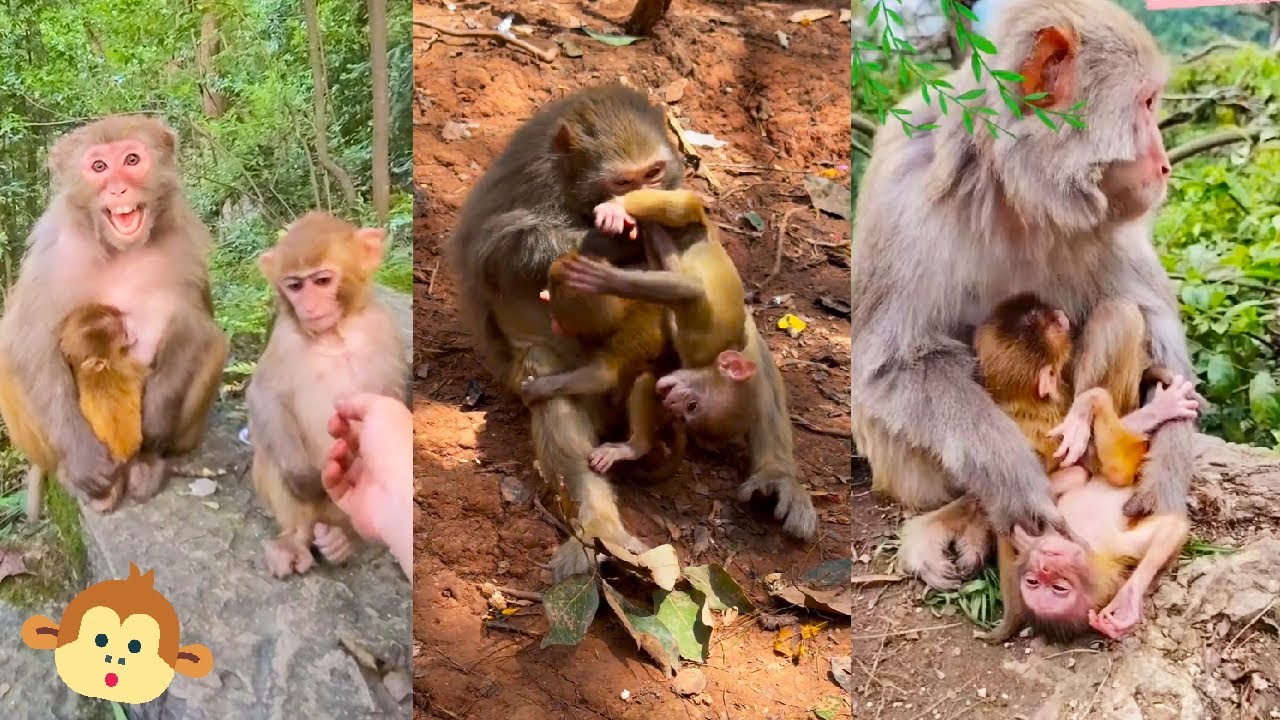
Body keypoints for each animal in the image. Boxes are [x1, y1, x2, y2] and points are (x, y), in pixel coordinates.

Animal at [246, 211, 408, 579]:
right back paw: (296, 538)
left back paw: (341, 541)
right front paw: (302, 478)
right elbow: (264, 395)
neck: (334, 334)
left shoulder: (382, 331)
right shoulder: (284, 337)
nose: (308, 305)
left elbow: (393, 402)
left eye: (321, 281)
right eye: (294, 285)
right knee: (269, 452)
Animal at [448, 84, 816, 579]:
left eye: (654, 173)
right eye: (623, 181)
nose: (640, 198)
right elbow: (497, 255)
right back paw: (599, 522)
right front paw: (610, 237)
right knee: (548, 370)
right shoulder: (527, 185)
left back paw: (776, 474)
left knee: (743, 332)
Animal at [850, 0, 1199, 591]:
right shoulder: (905, 199)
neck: (1016, 188)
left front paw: (1168, 466)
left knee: (1120, 316)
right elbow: (895, 363)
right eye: (1148, 103)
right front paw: (1016, 482)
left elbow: (1156, 321)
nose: (1165, 165)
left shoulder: (1115, 215)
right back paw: (971, 512)